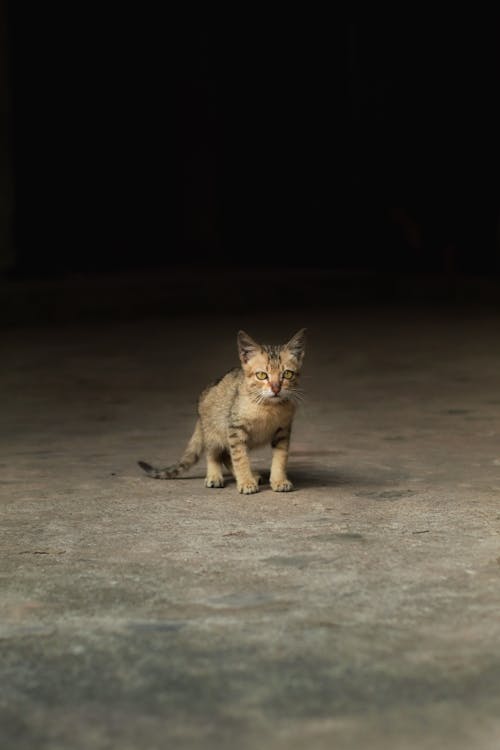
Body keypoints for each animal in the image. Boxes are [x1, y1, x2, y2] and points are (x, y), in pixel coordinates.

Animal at [139, 328, 306, 494]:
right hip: (214, 431)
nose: (276, 389)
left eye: (287, 374)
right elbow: (240, 458)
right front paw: (246, 482)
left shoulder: (283, 430)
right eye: (261, 375)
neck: (269, 406)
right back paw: (215, 476)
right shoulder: (235, 428)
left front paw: (279, 480)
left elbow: (280, 457)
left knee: (226, 455)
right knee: (214, 454)